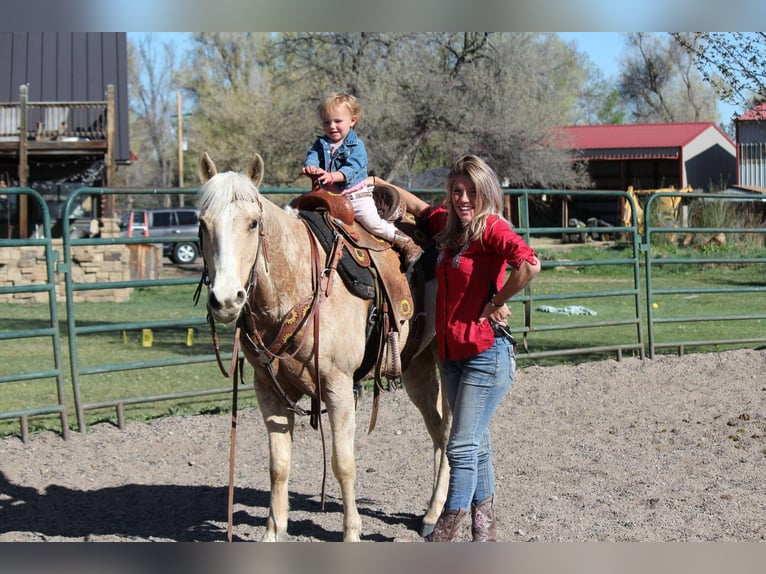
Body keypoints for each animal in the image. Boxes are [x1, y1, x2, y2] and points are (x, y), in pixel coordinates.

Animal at [197, 151, 450, 541]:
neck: (297, 284)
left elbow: (343, 463)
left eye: (253, 223)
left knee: (452, 431)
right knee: (438, 430)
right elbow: (279, 465)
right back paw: (431, 512)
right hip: (416, 366)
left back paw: (438, 512)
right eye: (202, 223)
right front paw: (273, 532)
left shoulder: (339, 386)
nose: (225, 299)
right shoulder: (269, 390)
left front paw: (351, 532)